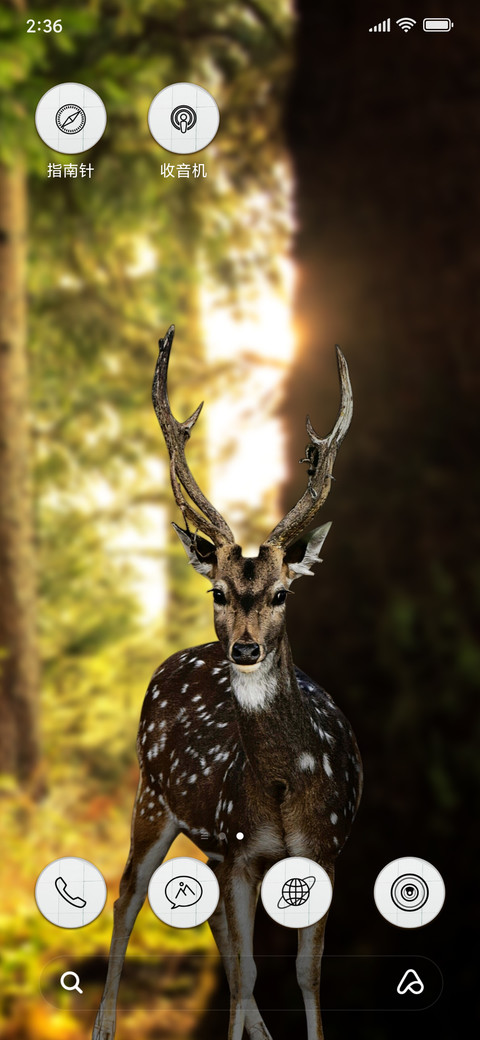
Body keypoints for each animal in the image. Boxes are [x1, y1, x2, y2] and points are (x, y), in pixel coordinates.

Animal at [92, 325, 362, 1040]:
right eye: (217, 589)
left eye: (282, 593)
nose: (244, 648)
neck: (284, 789)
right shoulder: (240, 848)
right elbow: (248, 974)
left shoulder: (323, 848)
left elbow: (304, 976)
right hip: (153, 792)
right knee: (127, 895)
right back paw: (104, 1024)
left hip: (205, 838)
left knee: (215, 930)